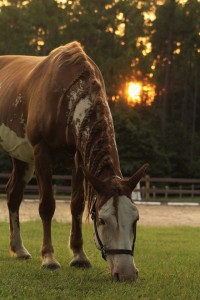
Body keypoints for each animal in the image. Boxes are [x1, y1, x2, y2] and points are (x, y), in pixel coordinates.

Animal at [0, 41, 147, 282]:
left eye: (136, 219)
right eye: (102, 220)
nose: (126, 273)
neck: (67, 98)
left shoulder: (79, 159)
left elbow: (77, 205)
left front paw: (79, 256)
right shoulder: (42, 154)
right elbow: (47, 205)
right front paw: (49, 258)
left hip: (22, 158)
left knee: (13, 195)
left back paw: (19, 249)